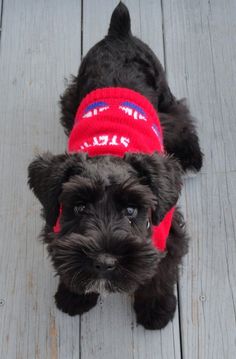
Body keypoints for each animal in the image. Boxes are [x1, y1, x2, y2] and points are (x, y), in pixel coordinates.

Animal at [28, 1, 203, 330]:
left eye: (132, 210)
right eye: (79, 207)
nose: (105, 262)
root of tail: (119, 32)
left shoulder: (169, 237)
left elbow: (160, 275)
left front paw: (155, 310)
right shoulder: (57, 231)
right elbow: (66, 262)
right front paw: (74, 296)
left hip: (164, 101)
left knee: (181, 117)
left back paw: (191, 156)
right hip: (71, 100)